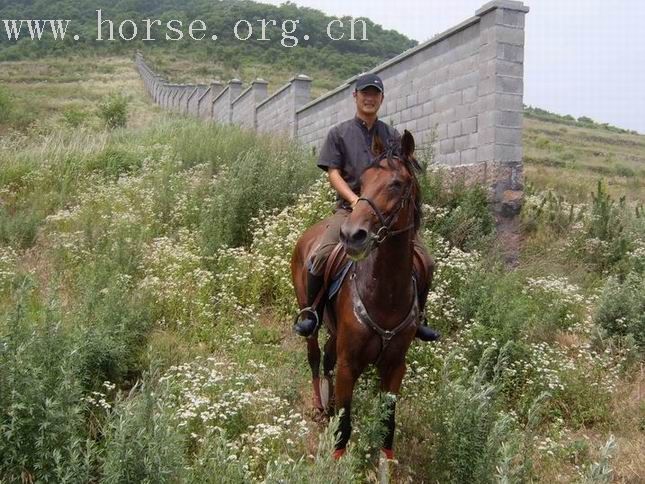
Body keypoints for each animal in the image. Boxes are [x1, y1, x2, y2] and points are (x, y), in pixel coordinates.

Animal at [290, 130, 430, 460]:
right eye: (362, 183)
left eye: (397, 183)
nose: (352, 235)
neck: (386, 294)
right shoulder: (349, 364)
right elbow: (345, 425)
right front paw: (337, 463)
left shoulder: (395, 366)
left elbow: (388, 425)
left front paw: (386, 465)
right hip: (308, 315)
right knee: (315, 357)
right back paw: (320, 406)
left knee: (327, 358)